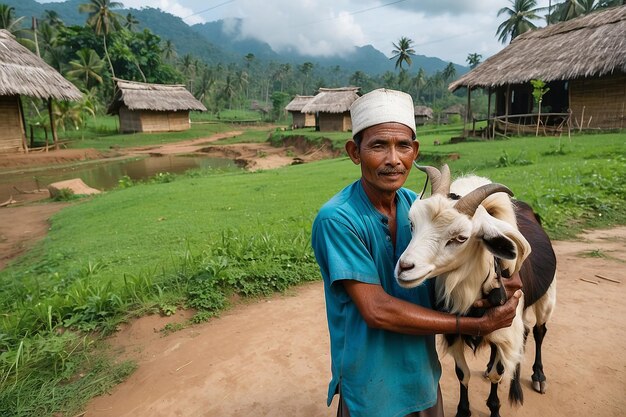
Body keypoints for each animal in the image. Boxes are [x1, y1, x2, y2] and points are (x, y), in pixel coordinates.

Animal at [394, 165, 556, 416]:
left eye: (460, 238)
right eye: (412, 224)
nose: (404, 267)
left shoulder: (506, 329)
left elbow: (497, 374)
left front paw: (495, 407)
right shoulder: (454, 332)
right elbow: (462, 374)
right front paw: (463, 410)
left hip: (546, 297)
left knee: (539, 331)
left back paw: (538, 376)